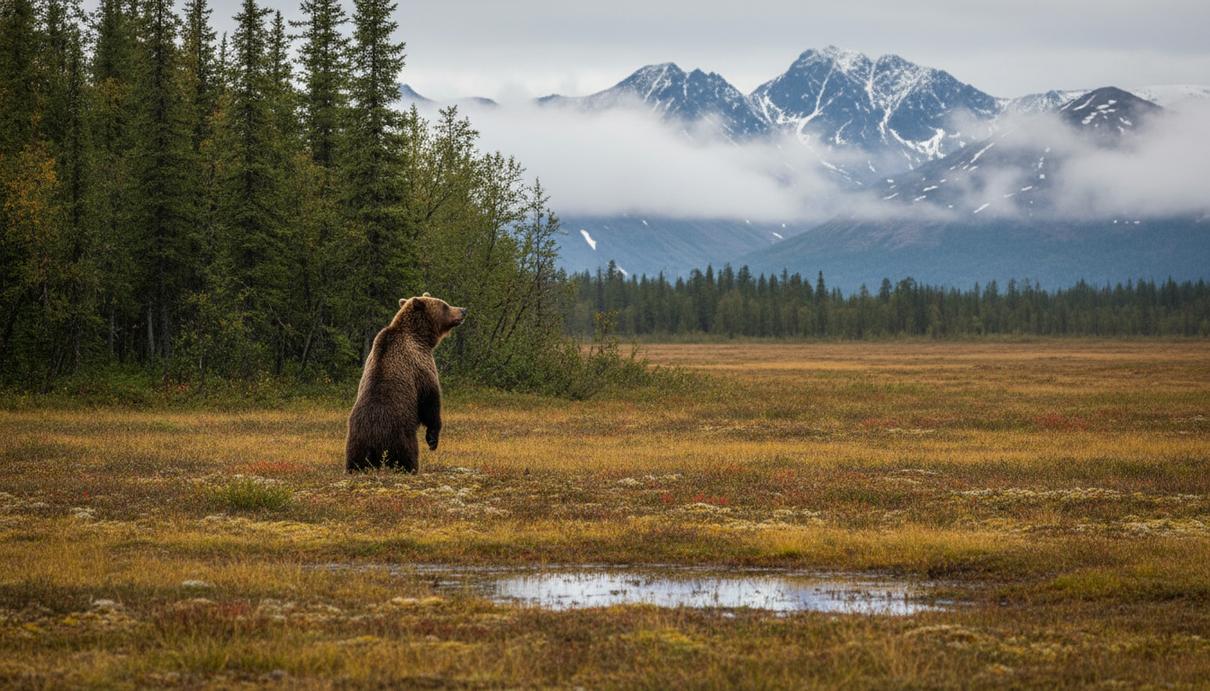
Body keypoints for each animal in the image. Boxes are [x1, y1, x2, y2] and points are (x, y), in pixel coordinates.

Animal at [345, 293, 467, 473]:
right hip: (400, 436)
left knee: (354, 460)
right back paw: (412, 468)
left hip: (355, 441)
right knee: (407, 455)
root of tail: (374, 444)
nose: (463, 310)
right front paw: (432, 439)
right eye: (445, 305)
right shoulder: (420, 364)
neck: (420, 337)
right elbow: (430, 402)